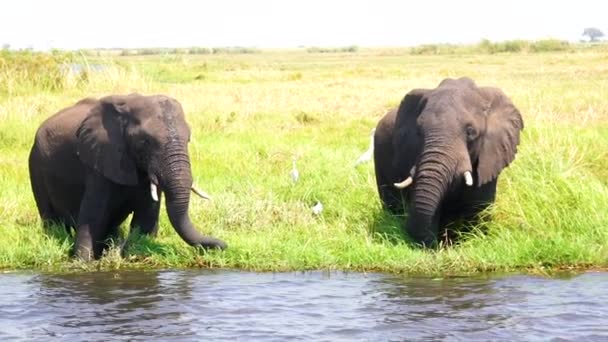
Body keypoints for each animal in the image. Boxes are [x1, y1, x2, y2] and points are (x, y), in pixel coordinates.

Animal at [27, 93, 227, 260]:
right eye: (145, 142)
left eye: (188, 139)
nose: (223, 245)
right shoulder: (99, 160)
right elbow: (93, 219)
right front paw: (82, 262)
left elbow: (145, 219)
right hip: (35, 164)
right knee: (51, 219)